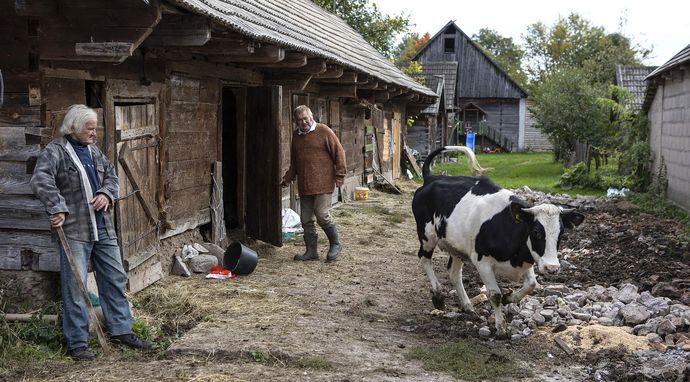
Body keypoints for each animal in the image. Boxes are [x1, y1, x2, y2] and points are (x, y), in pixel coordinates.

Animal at [412, 146, 584, 338]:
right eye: (536, 232)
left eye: (562, 233)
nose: (552, 268)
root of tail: (432, 178)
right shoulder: (482, 261)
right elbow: (495, 295)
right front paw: (501, 328)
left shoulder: (528, 258)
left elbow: (531, 284)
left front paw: (510, 298)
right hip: (427, 236)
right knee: (424, 258)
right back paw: (438, 296)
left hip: (457, 246)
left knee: (454, 273)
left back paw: (467, 305)